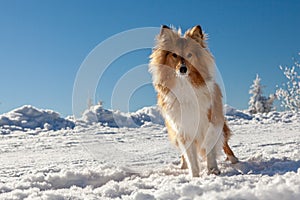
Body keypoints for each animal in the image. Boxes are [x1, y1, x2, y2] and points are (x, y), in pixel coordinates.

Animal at [149, 24, 238, 177]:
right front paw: (195, 176)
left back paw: (234, 160)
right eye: (174, 55)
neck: (185, 85)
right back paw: (182, 165)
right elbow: (190, 156)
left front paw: (213, 170)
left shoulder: (210, 122)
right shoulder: (183, 128)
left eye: (189, 55)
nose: (183, 69)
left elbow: (210, 149)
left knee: (225, 144)